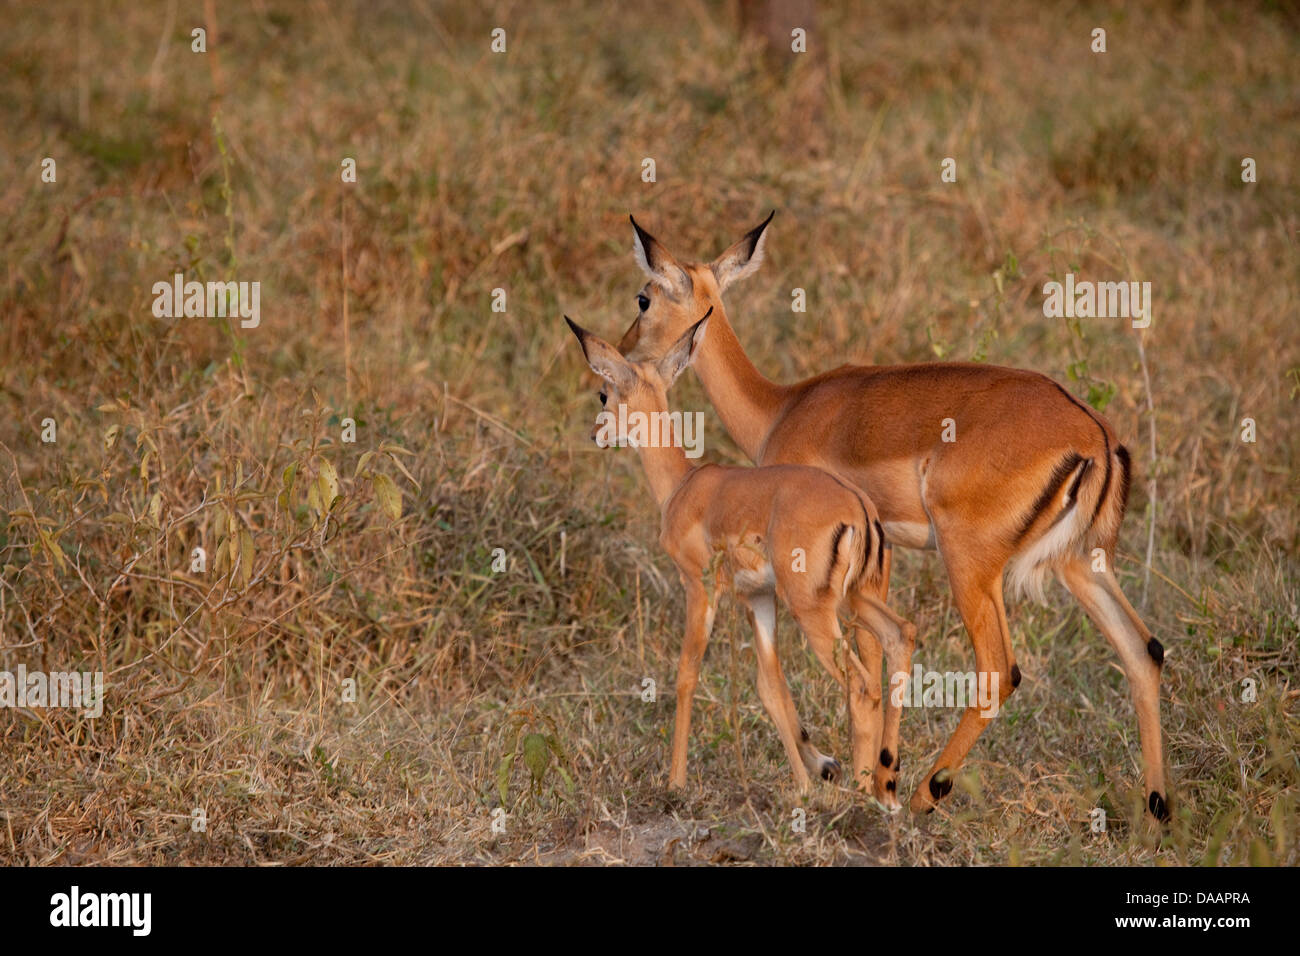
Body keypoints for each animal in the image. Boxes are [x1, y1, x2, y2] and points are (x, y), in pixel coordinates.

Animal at [565, 311, 917, 800]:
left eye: (603, 392)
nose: (595, 434)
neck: (684, 487)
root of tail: (857, 506)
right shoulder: (759, 598)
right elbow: (772, 688)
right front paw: (809, 779)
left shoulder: (699, 587)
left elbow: (686, 674)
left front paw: (675, 781)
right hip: (856, 598)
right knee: (900, 638)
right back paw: (882, 787)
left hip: (813, 610)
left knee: (862, 684)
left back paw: (863, 793)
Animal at [612, 213, 1170, 821]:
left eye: (643, 297)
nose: (622, 350)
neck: (780, 408)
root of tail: (1096, 434)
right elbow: (879, 651)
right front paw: (873, 776)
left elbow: (864, 659)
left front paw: (858, 778)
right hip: (1082, 564)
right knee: (1143, 651)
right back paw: (1156, 811)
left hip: (969, 563)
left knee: (1000, 669)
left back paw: (927, 792)